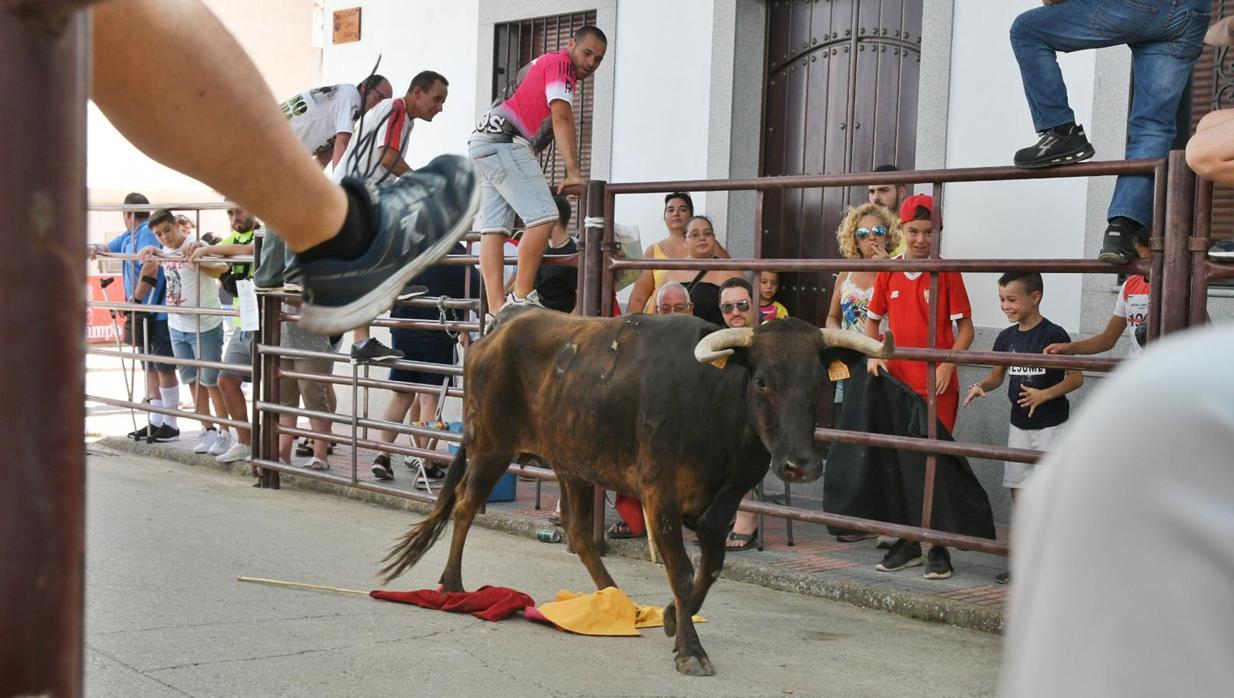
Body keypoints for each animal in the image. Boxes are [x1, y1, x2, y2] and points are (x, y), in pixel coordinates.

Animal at [380, 308, 893, 680]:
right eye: (763, 380)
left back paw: (617, 601)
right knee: (467, 506)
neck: (715, 404)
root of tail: (506, 322)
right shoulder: (659, 494)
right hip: (490, 446)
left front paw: (670, 618)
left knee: (579, 534)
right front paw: (690, 650)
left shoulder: (724, 502)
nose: (800, 465)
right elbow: (682, 571)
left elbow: (710, 567)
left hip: (572, 464)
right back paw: (452, 583)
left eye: (819, 384)